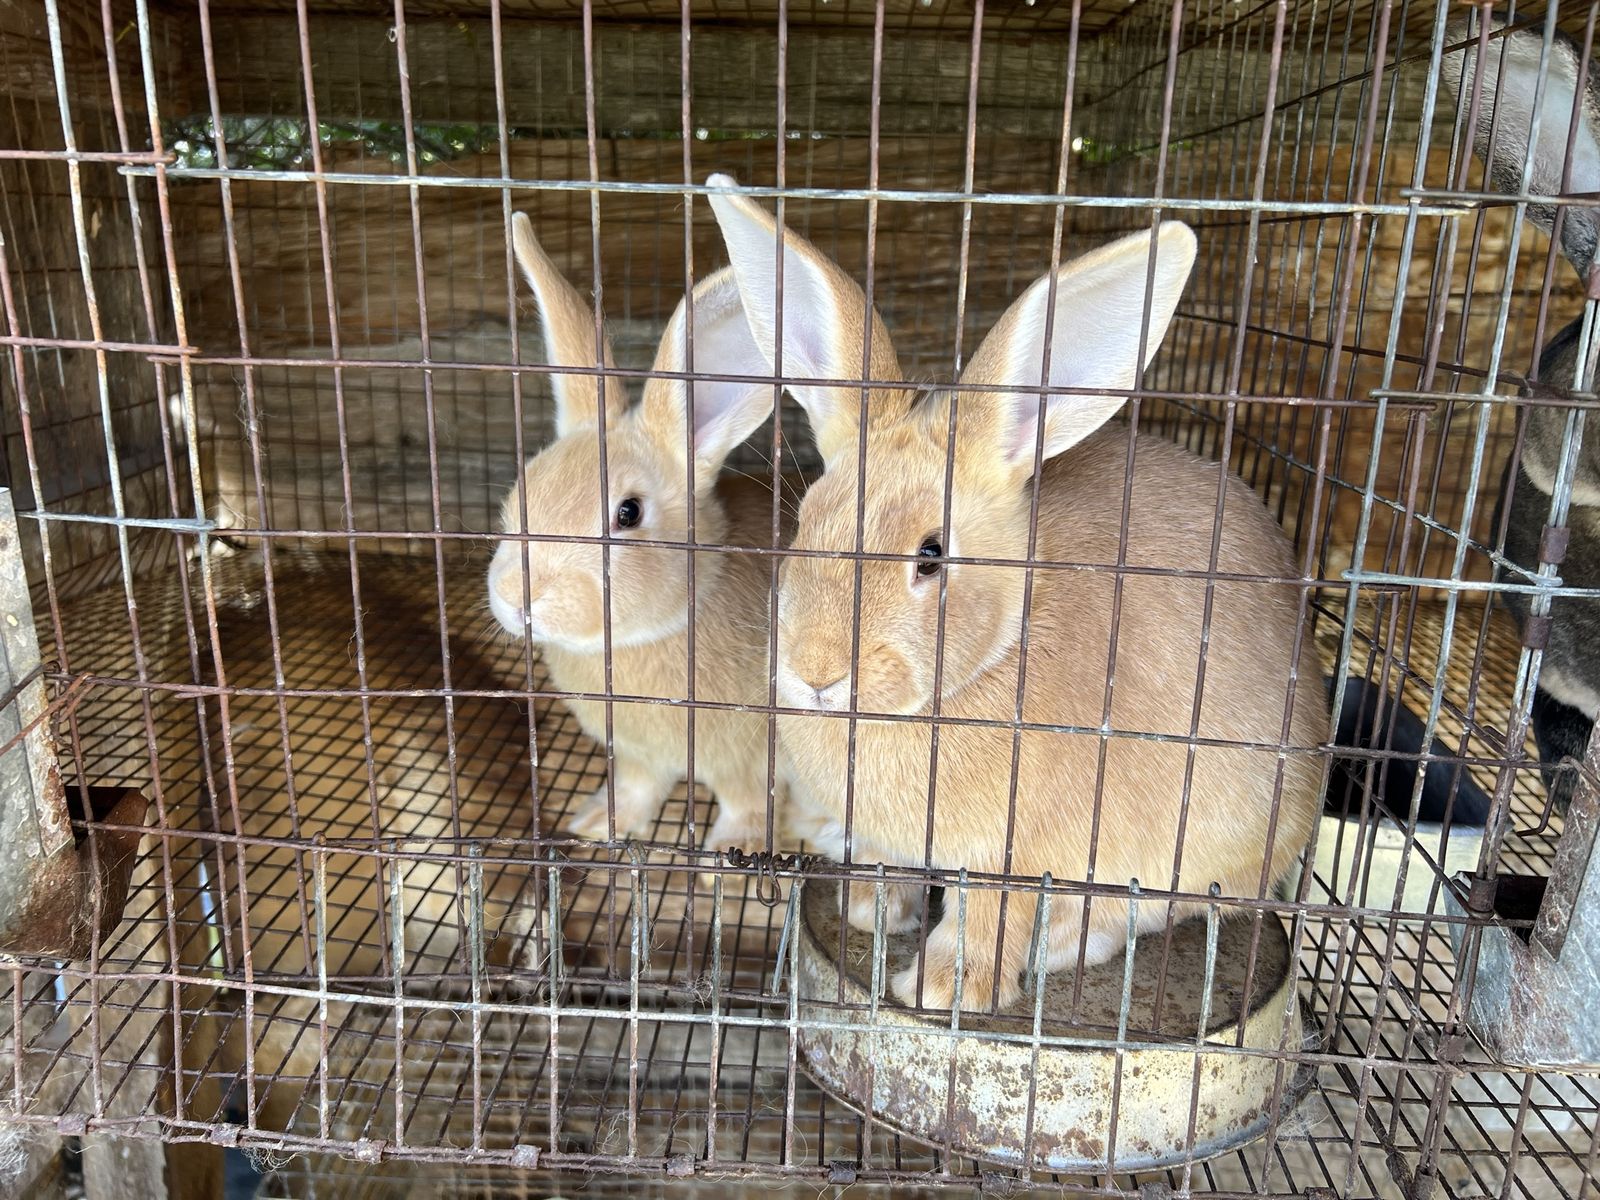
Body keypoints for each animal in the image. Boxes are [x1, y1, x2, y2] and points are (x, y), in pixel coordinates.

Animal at [486, 213, 794, 854]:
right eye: (521, 491)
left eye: (627, 514)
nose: (516, 596)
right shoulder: (637, 757)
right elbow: (635, 788)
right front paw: (595, 826)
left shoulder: (753, 759)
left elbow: (749, 804)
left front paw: (729, 851)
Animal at [704, 175, 1328, 1012]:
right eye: (805, 524)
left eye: (931, 556)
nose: (815, 672)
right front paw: (874, 911)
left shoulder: (1021, 851)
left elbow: (991, 915)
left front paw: (945, 988)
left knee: (1149, 911)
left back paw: (1063, 944)